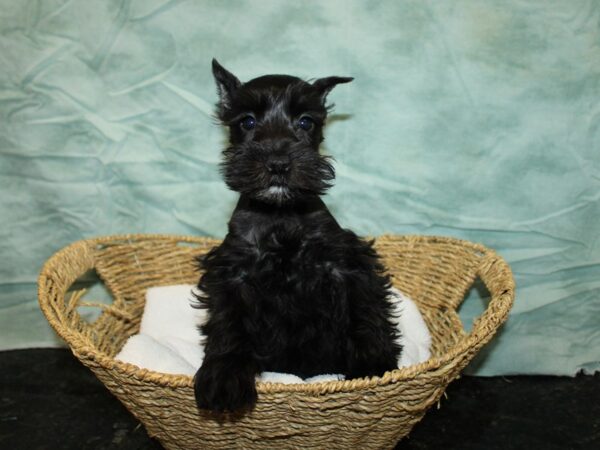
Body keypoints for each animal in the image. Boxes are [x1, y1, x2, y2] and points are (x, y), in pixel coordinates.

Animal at [193, 60, 398, 414]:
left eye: (306, 122)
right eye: (247, 121)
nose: (278, 164)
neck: (280, 216)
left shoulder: (346, 262)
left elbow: (364, 308)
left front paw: (373, 363)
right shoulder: (231, 272)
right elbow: (227, 323)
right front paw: (223, 375)